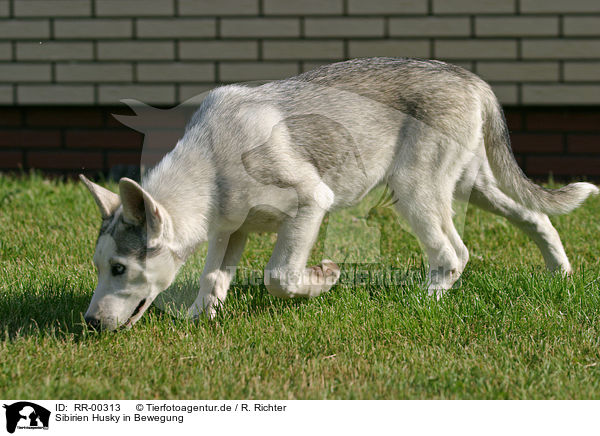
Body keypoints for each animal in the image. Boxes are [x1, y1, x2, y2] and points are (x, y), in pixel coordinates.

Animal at [79, 57, 596, 330]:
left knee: (454, 253)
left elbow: (279, 276)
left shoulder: (311, 202)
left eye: (119, 268)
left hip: (414, 189)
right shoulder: (230, 229)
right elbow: (212, 278)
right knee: (535, 216)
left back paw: (423, 303)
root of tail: (471, 78)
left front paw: (324, 278)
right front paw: (200, 318)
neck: (211, 162)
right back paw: (561, 273)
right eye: (101, 267)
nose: (90, 323)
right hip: (475, 185)